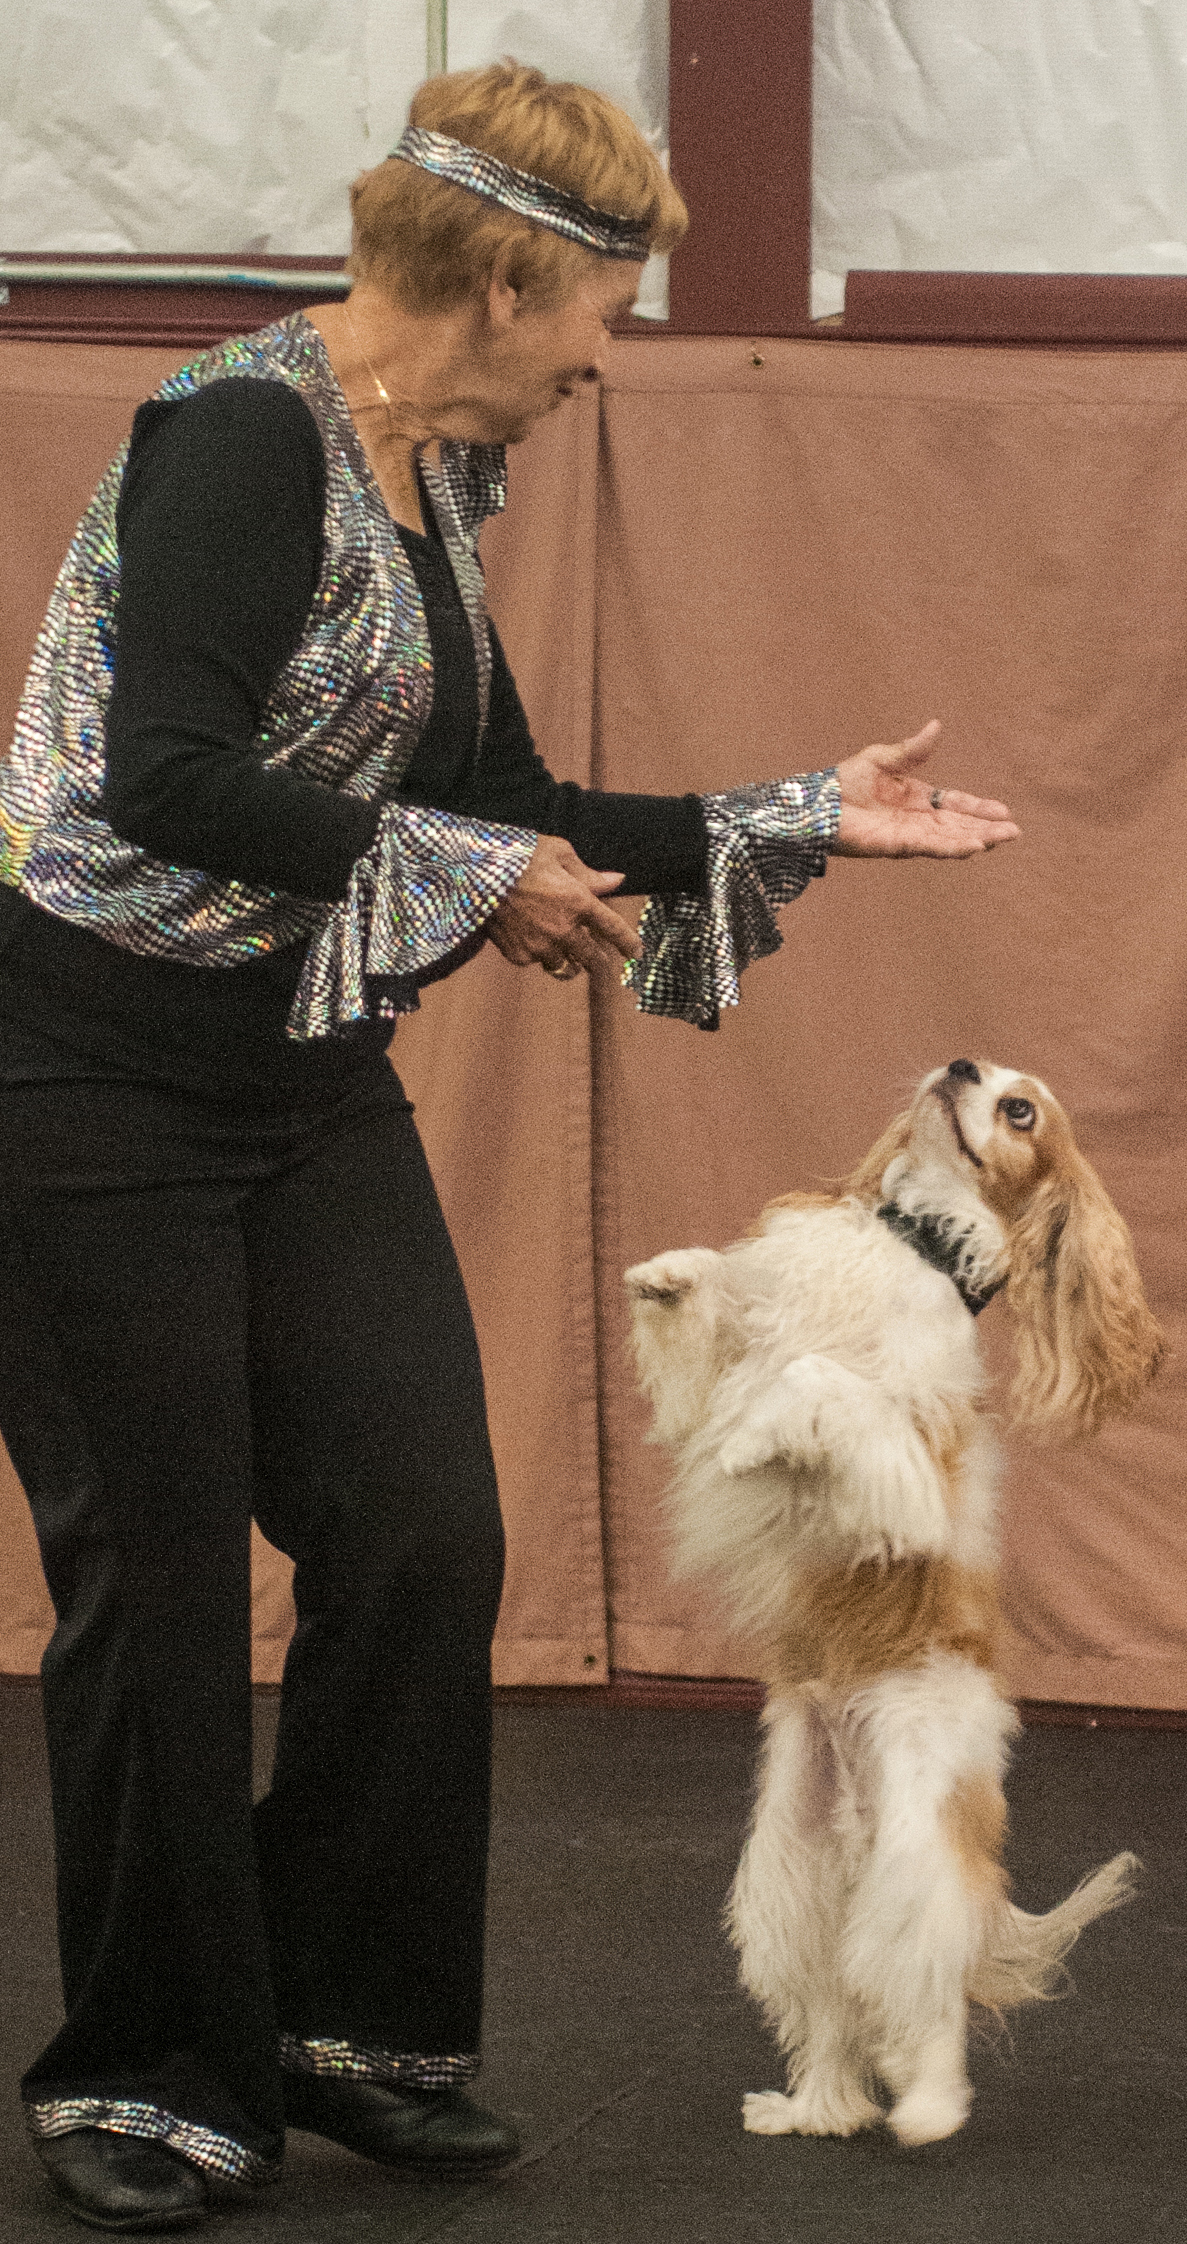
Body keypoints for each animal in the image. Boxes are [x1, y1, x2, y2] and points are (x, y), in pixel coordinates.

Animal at [623, 1059, 1157, 2145]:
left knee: (924, 1991)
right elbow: (724, 1326)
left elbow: (809, 1379)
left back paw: (929, 2105)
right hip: (790, 1872)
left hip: (914, 1843)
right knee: (836, 2009)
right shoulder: (742, 1343)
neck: (908, 1240)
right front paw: (668, 1275)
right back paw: (813, 2111)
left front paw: (754, 1439)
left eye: (1018, 1110)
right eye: (975, 1065)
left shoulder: (904, 1470)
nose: (959, 1069)